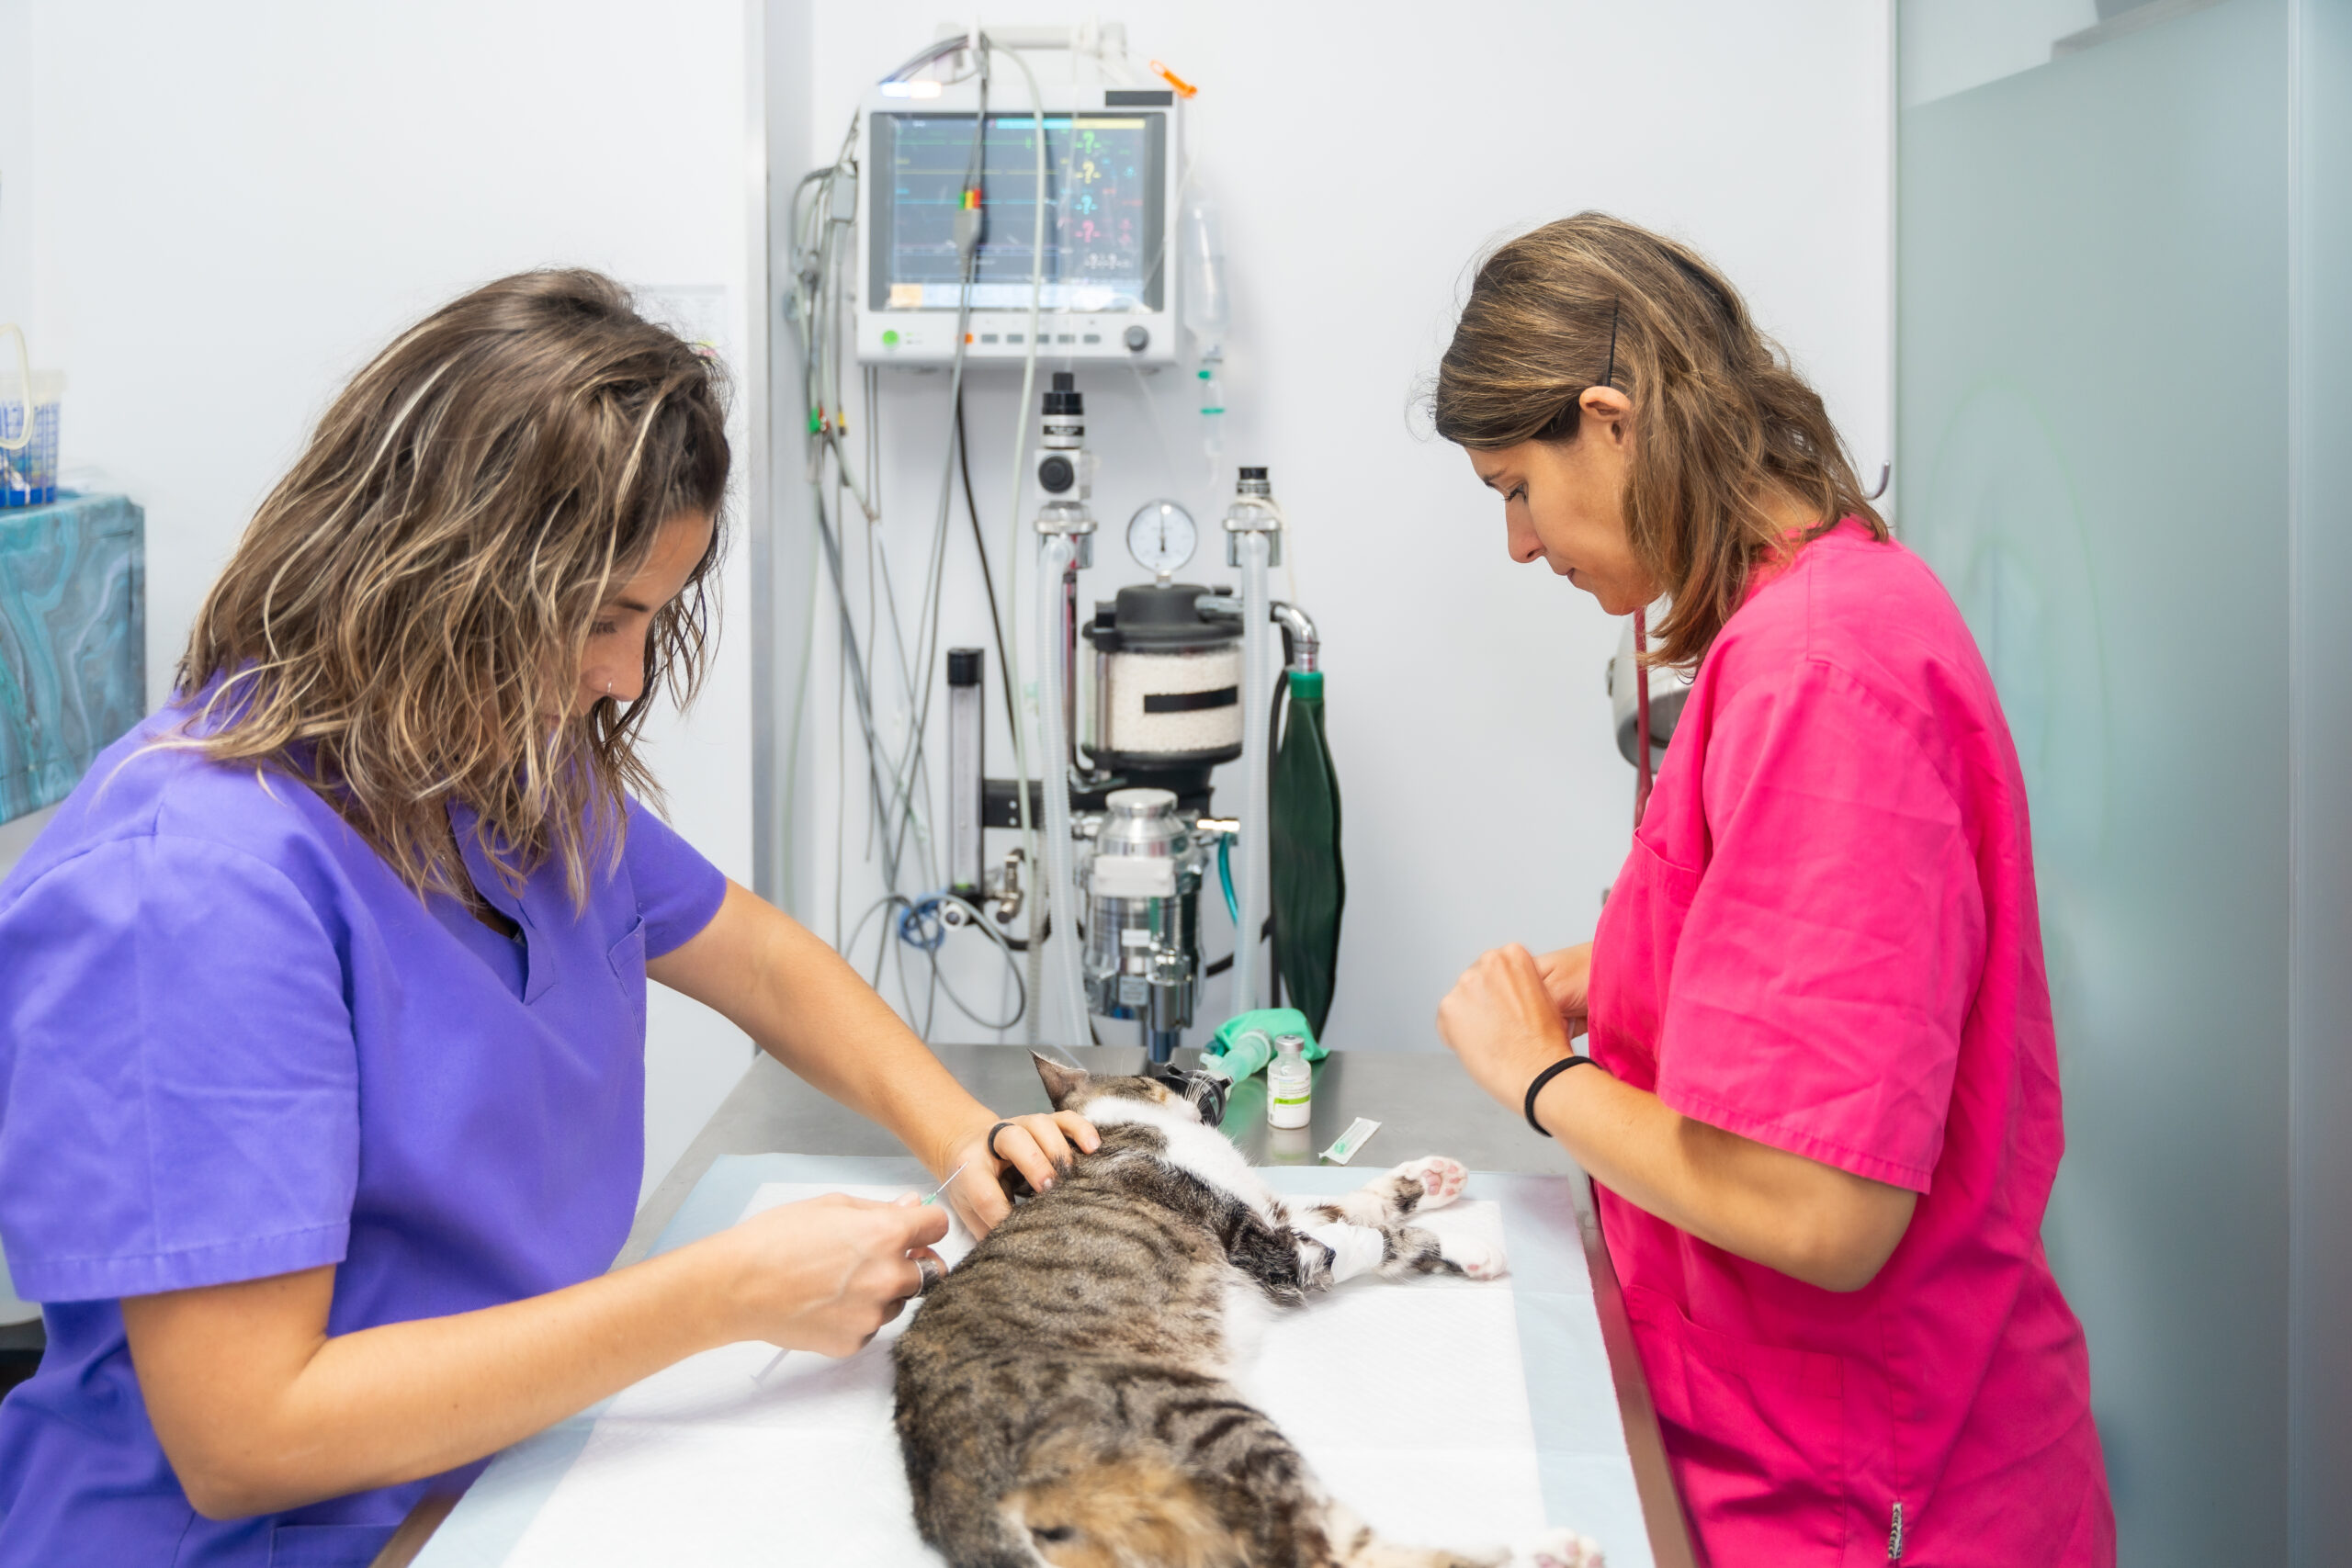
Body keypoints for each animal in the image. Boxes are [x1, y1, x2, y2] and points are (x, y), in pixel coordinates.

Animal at [888, 1053, 1609, 1568]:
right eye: (1168, 1068)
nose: (1224, 1072)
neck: (1121, 1127)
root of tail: (953, 1490)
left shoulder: (1280, 1212)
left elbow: (1358, 1202)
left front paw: (1433, 1181)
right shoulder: (1275, 1246)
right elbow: (1372, 1236)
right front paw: (1460, 1242)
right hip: (1217, 1425)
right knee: (1327, 1551)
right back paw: (1551, 1549)